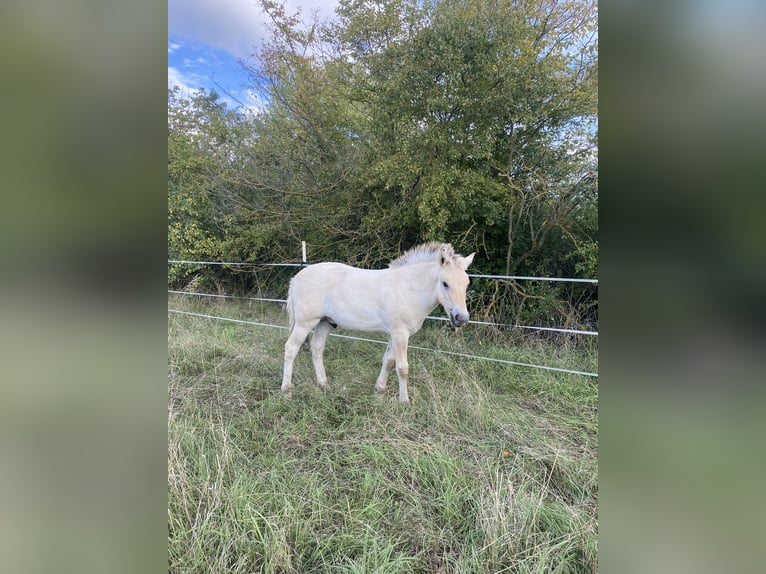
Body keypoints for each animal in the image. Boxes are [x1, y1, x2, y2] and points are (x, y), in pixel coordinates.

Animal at [282, 244, 474, 404]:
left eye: (466, 283)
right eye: (445, 283)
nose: (461, 318)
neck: (408, 288)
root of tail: (297, 277)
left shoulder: (394, 334)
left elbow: (388, 361)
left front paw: (379, 391)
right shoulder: (400, 333)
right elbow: (402, 367)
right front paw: (404, 401)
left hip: (324, 322)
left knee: (317, 348)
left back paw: (323, 385)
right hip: (305, 323)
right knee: (291, 349)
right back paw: (286, 392)